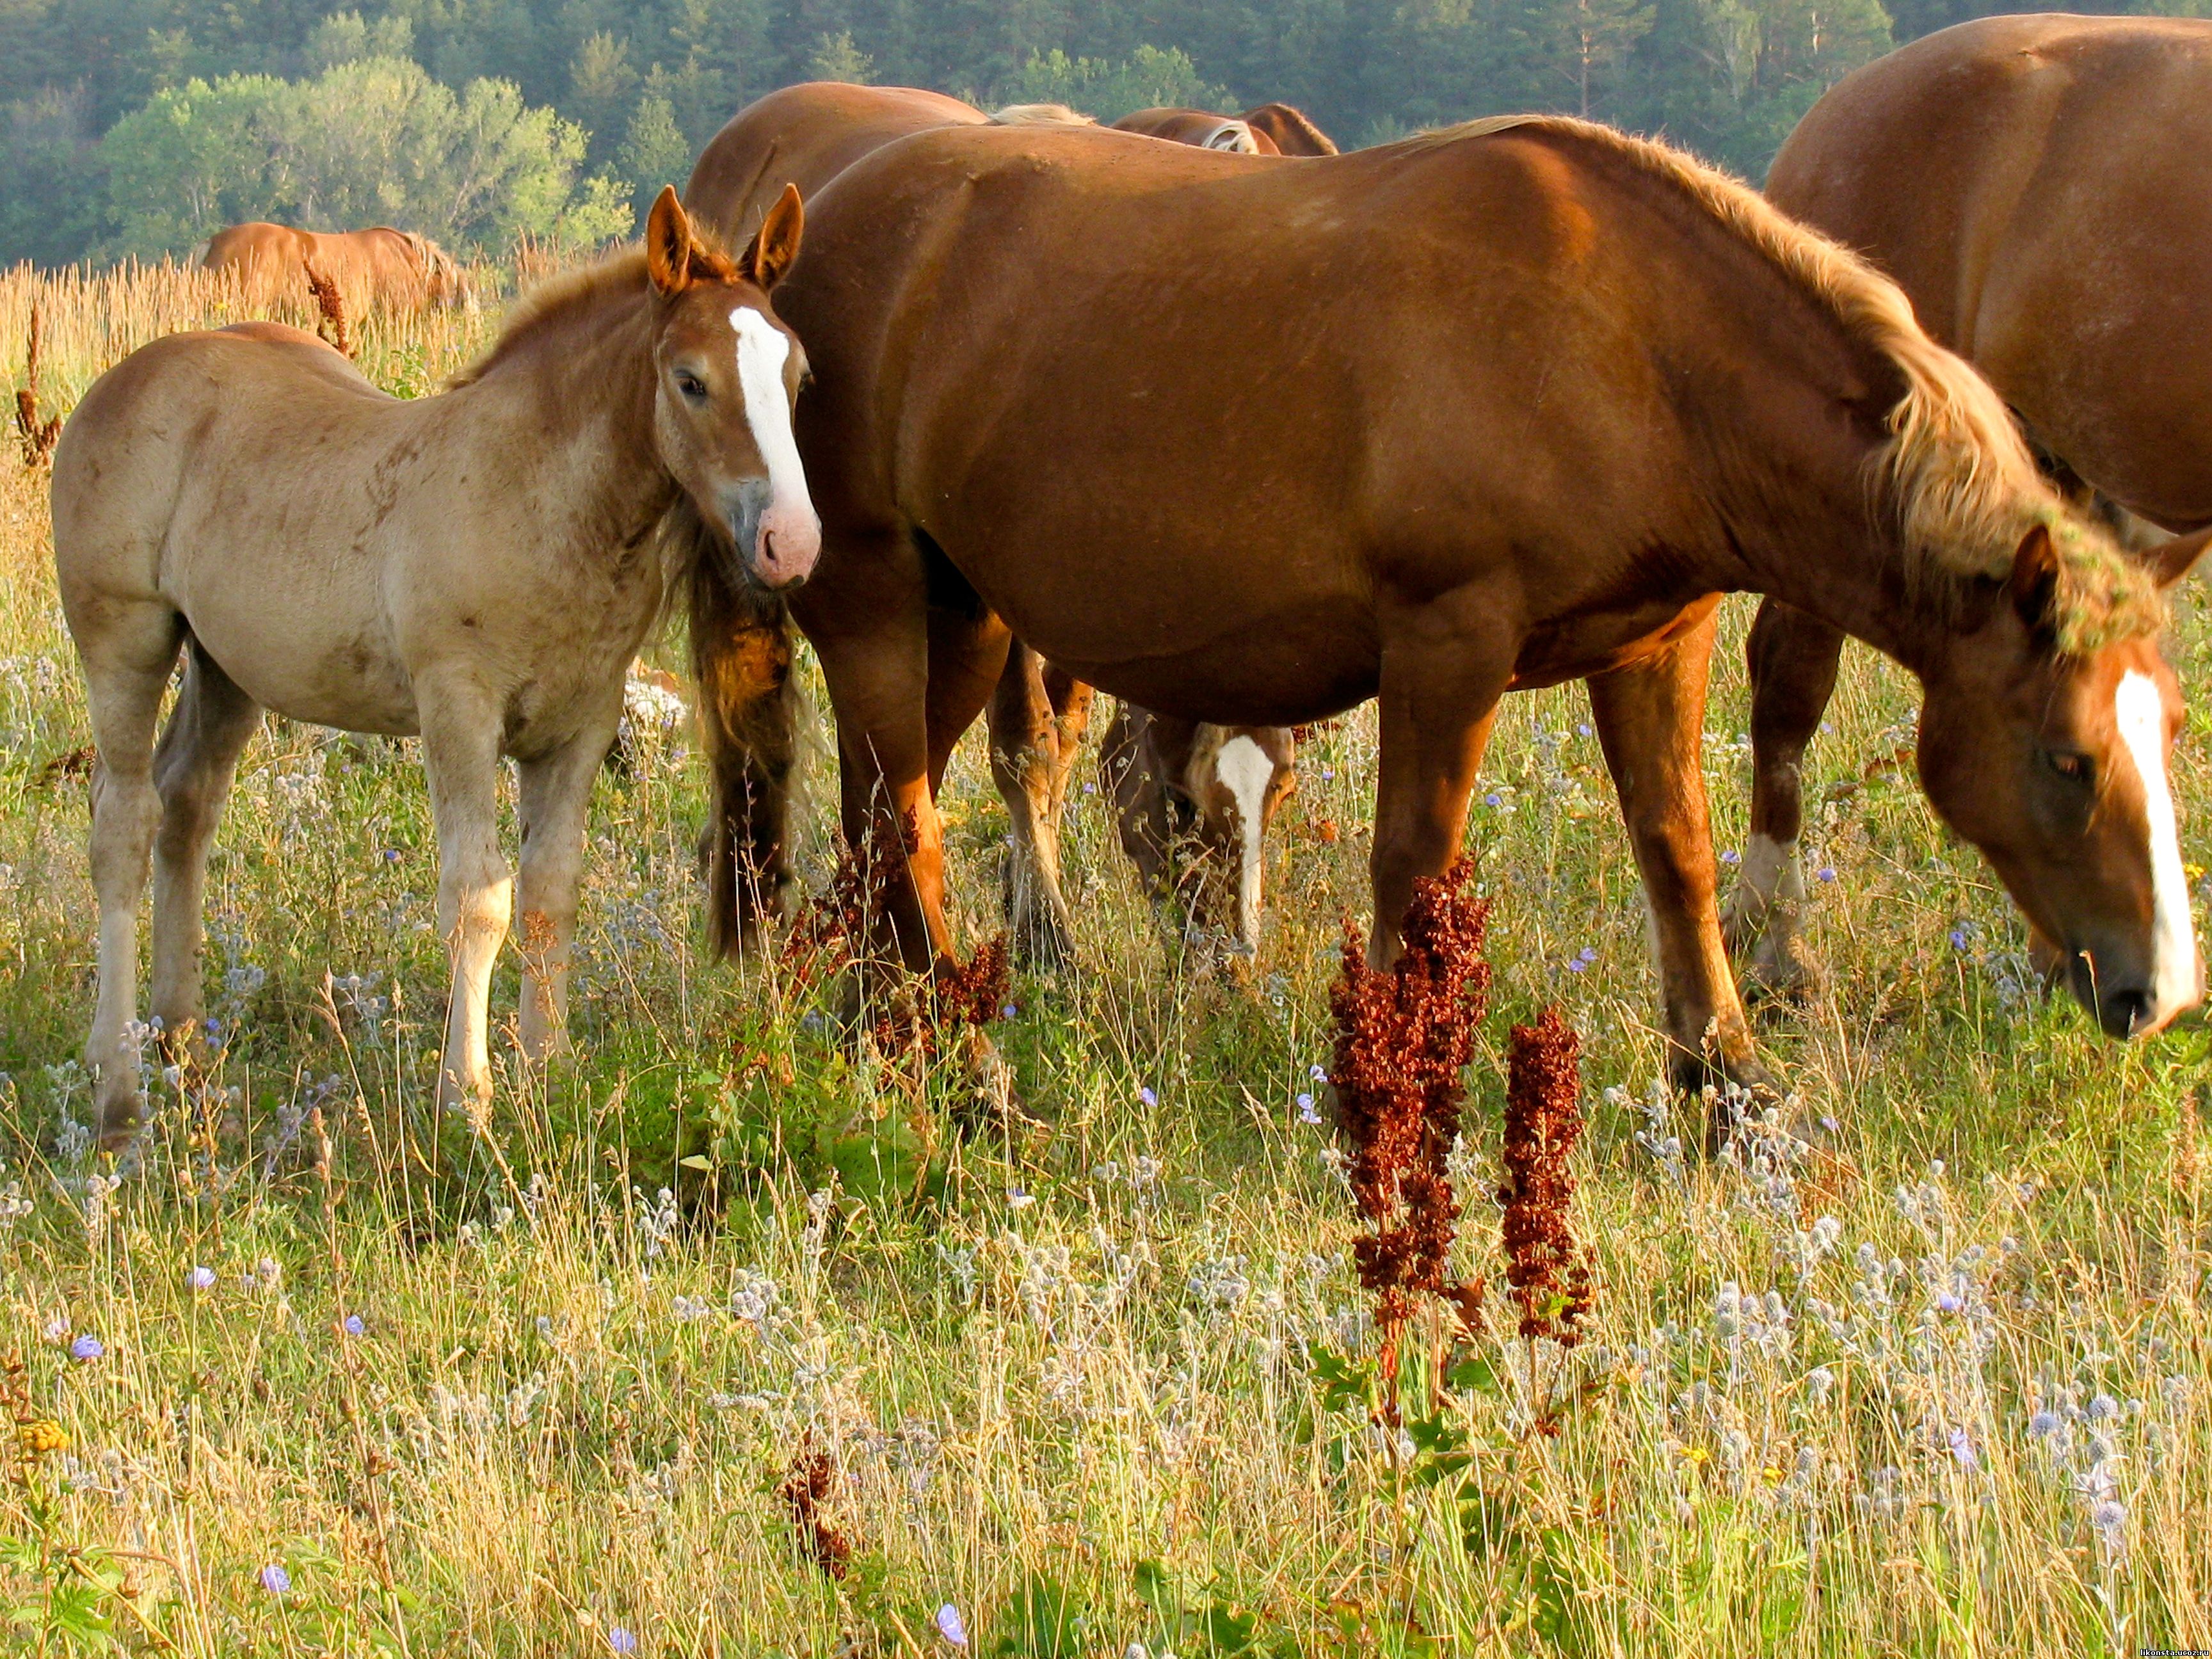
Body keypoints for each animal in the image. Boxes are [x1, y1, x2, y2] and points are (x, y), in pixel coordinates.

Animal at [716, 113, 2203, 1141]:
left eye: (2165, 734)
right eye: (2067, 758)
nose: (2161, 993)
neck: (1631, 344)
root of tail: (806, 233)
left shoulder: (1658, 645)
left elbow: (1679, 857)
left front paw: (1727, 1086)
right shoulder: (1447, 645)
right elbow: (1412, 875)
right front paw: (1391, 1094)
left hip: (960, 623)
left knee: (876, 830)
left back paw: (887, 1036)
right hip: (878, 607)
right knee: (902, 833)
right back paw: (958, 1073)